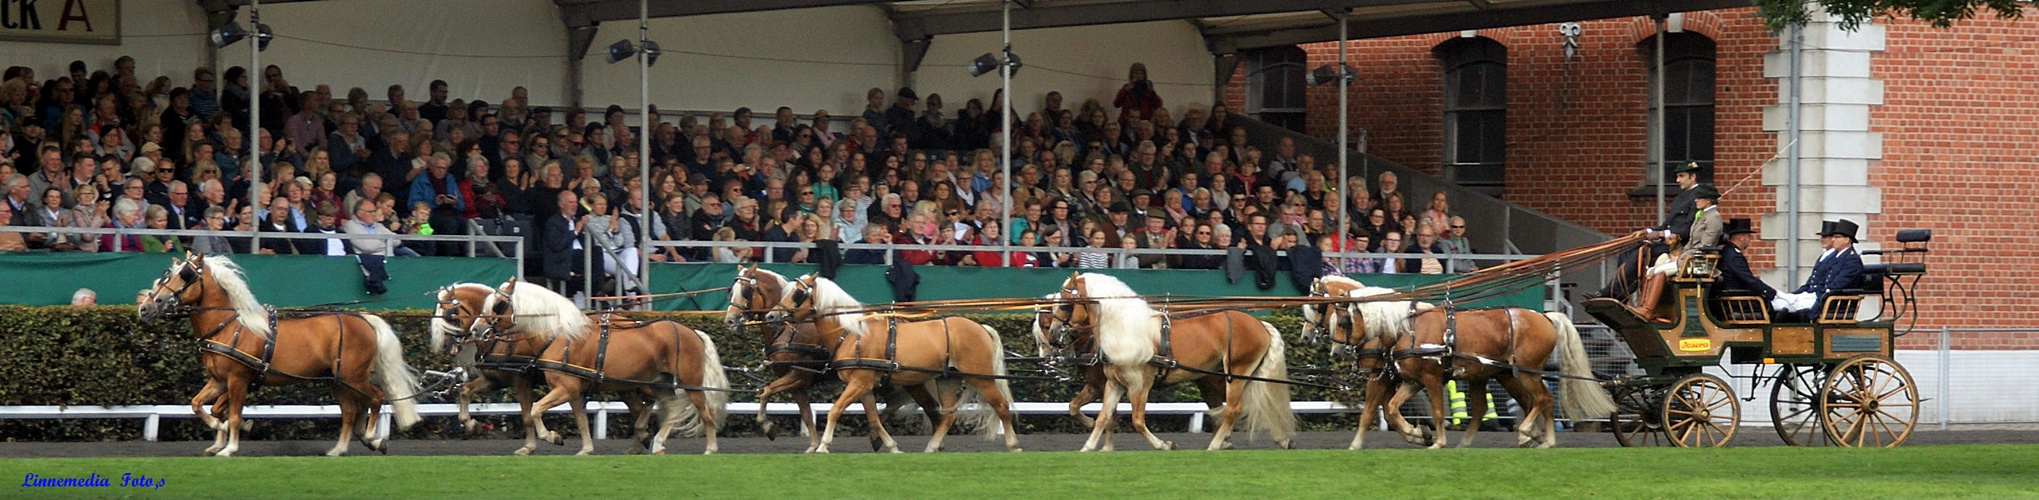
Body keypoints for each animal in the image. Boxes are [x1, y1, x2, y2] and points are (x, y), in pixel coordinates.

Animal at [139, 254, 422, 457]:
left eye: (185, 275)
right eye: (167, 274)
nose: (147, 306)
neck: (229, 326)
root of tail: (363, 319)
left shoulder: (237, 380)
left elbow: (232, 413)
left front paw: (229, 447)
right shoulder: (220, 381)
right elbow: (202, 405)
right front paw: (219, 436)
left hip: (354, 377)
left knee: (376, 398)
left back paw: (373, 437)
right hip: (339, 380)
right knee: (351, 411)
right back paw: (340, 448)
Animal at [477, 279, 734, 455]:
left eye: (498, 304)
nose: (477, 329)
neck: (560, 334)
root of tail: (692, 332)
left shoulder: (565, 387)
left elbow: (534, 410)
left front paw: (552, 437)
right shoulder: (572, 389)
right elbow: (580, 419)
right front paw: (585, 448)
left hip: (691, 384)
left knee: (705, 412)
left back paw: (710, 448)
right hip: (659, 383)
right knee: (672, 409)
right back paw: (657, 443)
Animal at [766, 273, 1019, 453]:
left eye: (798, 293)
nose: (770, 316)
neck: (852, 333)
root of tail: (980, 327)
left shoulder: (858, 382)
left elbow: (835, 410)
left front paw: (823, 445)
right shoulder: (864, 386)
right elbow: (873, 418)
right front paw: (892, 446)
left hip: (981, 377)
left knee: (1001, 406)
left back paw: (1013, 445)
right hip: (947, 379)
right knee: (948, 415)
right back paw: (931, 447)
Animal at [1043, 271, 1296, 451]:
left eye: (1065, 304)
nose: (1054, 334)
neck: (1126, 329)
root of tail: (1259, 324)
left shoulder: (1139, 385)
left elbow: (1137, 421)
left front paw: (1164, 444)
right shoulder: (1114, 384)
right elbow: (1103, 417)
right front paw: (1088, 447)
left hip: (1235, 374)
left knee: (1234, 409)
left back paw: (1215, 445)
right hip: (1241, 376)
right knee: (1256, 404)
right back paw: (1278, 439)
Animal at [1345, 289, 1614, 448]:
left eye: (1345, 318)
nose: (1352, 352)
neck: (1406, 328)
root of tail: (1545, 316)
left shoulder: (1429, 377)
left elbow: (1437, 411)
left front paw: (1436, 441)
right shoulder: (1411, 380)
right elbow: (1390, 408)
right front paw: (1419, 433)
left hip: (1527, 372)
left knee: (1544, 399)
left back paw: (1542, 438)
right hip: (1503, 375)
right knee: (1511, 404)